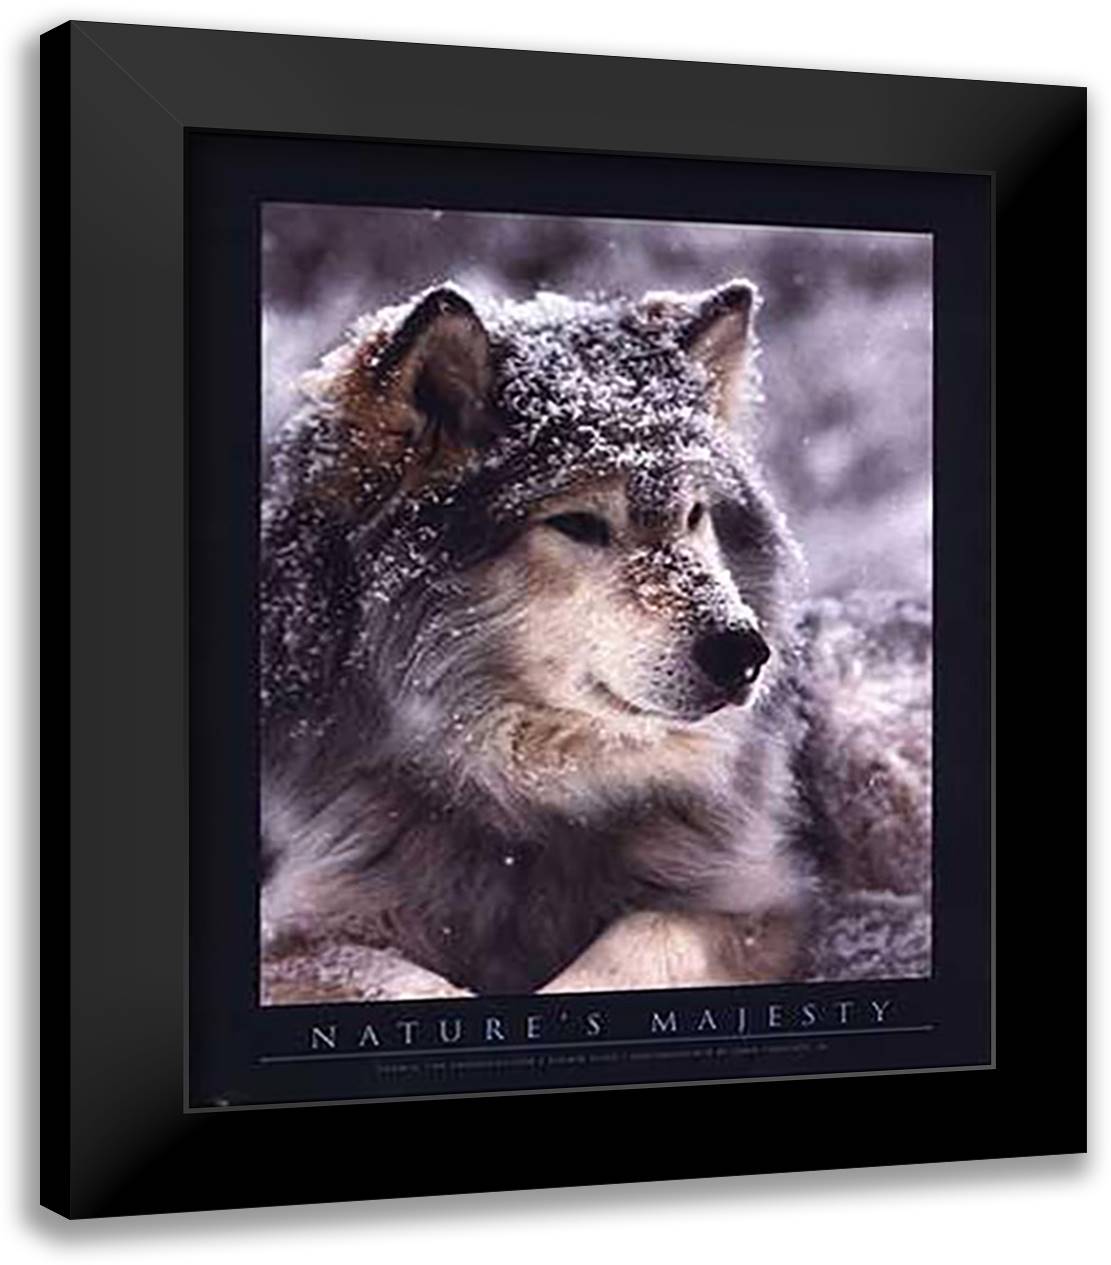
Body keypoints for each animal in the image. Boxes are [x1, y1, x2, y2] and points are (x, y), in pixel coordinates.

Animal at [259, 280, 909, 1002]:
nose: (745, 653)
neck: (528, 799)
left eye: (694, 516)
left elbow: (637, 941)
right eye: (577, 523)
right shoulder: (298, 931)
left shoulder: (756, 900)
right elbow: (405, 984)